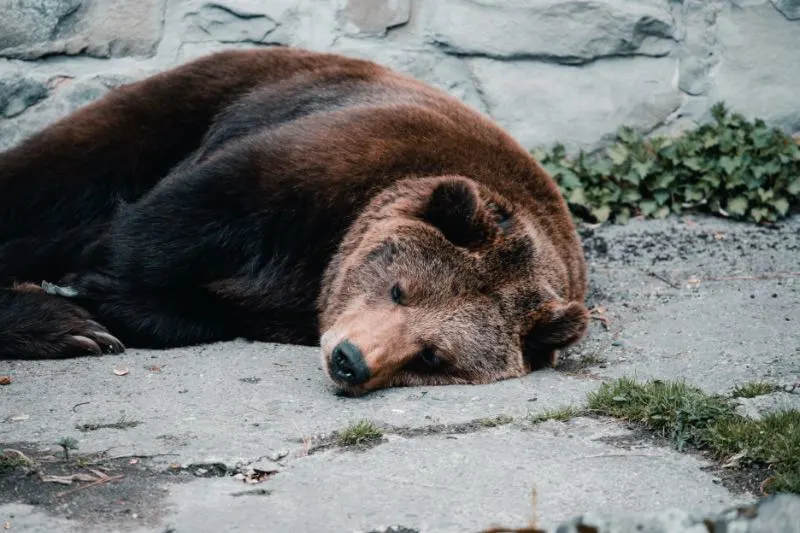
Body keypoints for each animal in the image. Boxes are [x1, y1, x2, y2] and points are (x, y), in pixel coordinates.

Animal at [0, 46, 588, 394]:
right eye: (400, 289)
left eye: (433, 355)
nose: (350, 359)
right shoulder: (332, 160)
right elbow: (171, 225)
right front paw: (82, 294)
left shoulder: (292, 302)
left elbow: (197, 311)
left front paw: (95, 307)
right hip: (186, 103)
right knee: (52, 184)